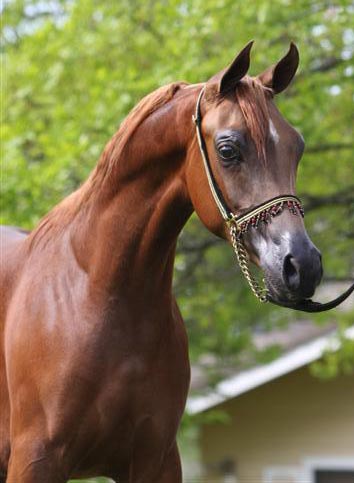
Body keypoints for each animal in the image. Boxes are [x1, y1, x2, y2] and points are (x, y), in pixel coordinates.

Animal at [0, 43, 324, 482]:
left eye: (298, 146)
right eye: (228, 150)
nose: (302, 265)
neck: (98, 294)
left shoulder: (156, 459)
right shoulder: (36, 459)